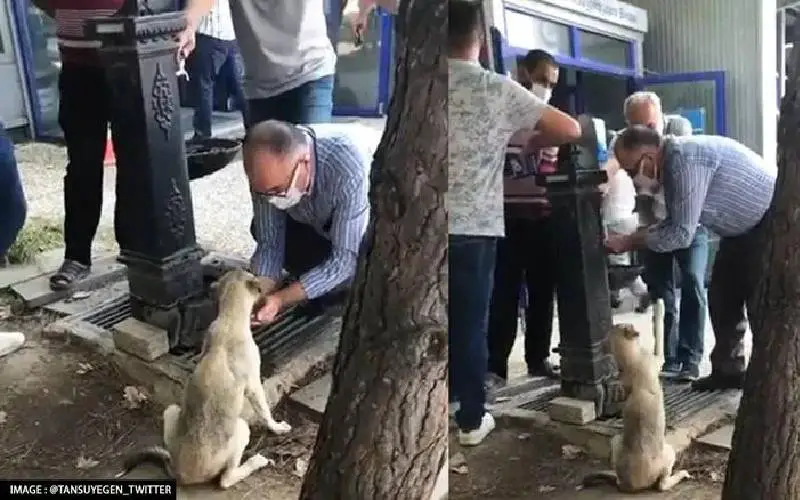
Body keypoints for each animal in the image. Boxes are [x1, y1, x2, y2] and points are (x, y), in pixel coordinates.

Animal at [117, 270, 292, 488]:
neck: (229, 318)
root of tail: (180, 472)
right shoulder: (254, 385)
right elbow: (265, 412)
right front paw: (277, 427)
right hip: (241, 428)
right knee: (226, 480)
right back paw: (255, 462)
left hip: (171, 410)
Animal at [580, 298, 692, 494]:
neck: (630, 359)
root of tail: (628, 484)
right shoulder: (657, 358)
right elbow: (659, 335)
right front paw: (659, 308)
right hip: (668, 452)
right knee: (662, 485)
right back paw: (681, 474)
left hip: (616, 441)